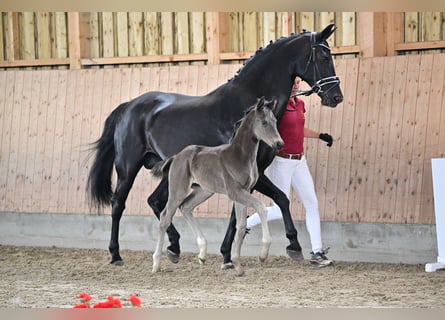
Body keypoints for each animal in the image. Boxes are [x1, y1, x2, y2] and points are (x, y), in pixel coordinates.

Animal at [86, 23, 344, 266]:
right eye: (323, 57)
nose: (336, 97)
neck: (244, 111)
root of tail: (129, 106)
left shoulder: (255, 174)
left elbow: (269, 203)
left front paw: (234, 253)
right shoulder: (248, 175)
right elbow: (266, 203)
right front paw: (240, 253)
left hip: (170, 172)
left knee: (156, 201)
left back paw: (174, 248)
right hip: (127, 169)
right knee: (118, 204)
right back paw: (116, 254)